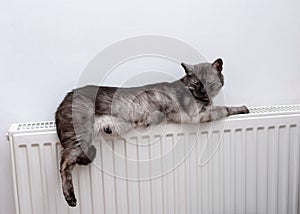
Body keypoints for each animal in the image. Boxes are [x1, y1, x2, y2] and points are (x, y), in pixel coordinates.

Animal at [55, 58, 250, 206]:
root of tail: (65, 97)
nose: (203, 90)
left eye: (208, 82)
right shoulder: (196, 116)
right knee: (64, 162)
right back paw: (70, 198)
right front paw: (242, 108)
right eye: (196, 82)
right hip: (81, 136)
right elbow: (224, 109)